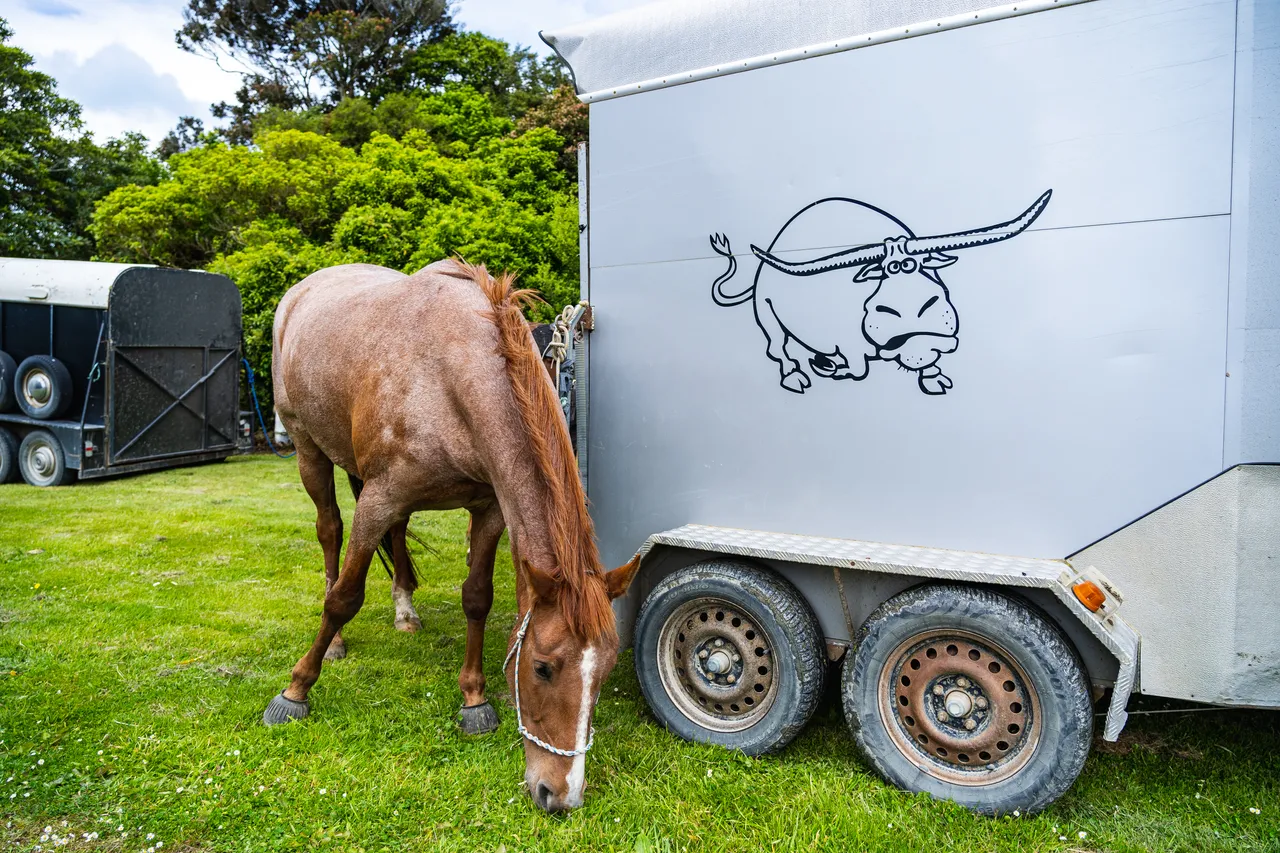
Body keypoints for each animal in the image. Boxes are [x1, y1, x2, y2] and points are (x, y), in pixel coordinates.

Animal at [262, 259, 641, 813]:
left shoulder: (487, 509)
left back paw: (405, 611)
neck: (449, 377)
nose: (560, 795)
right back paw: (333, 644)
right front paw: (295, 691)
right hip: (309, 448)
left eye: (607, 671)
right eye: (543, 668)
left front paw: (474, 699)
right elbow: (344, 599)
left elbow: (477, 598)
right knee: (330, 531)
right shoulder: (379, 498)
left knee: (397, 537)